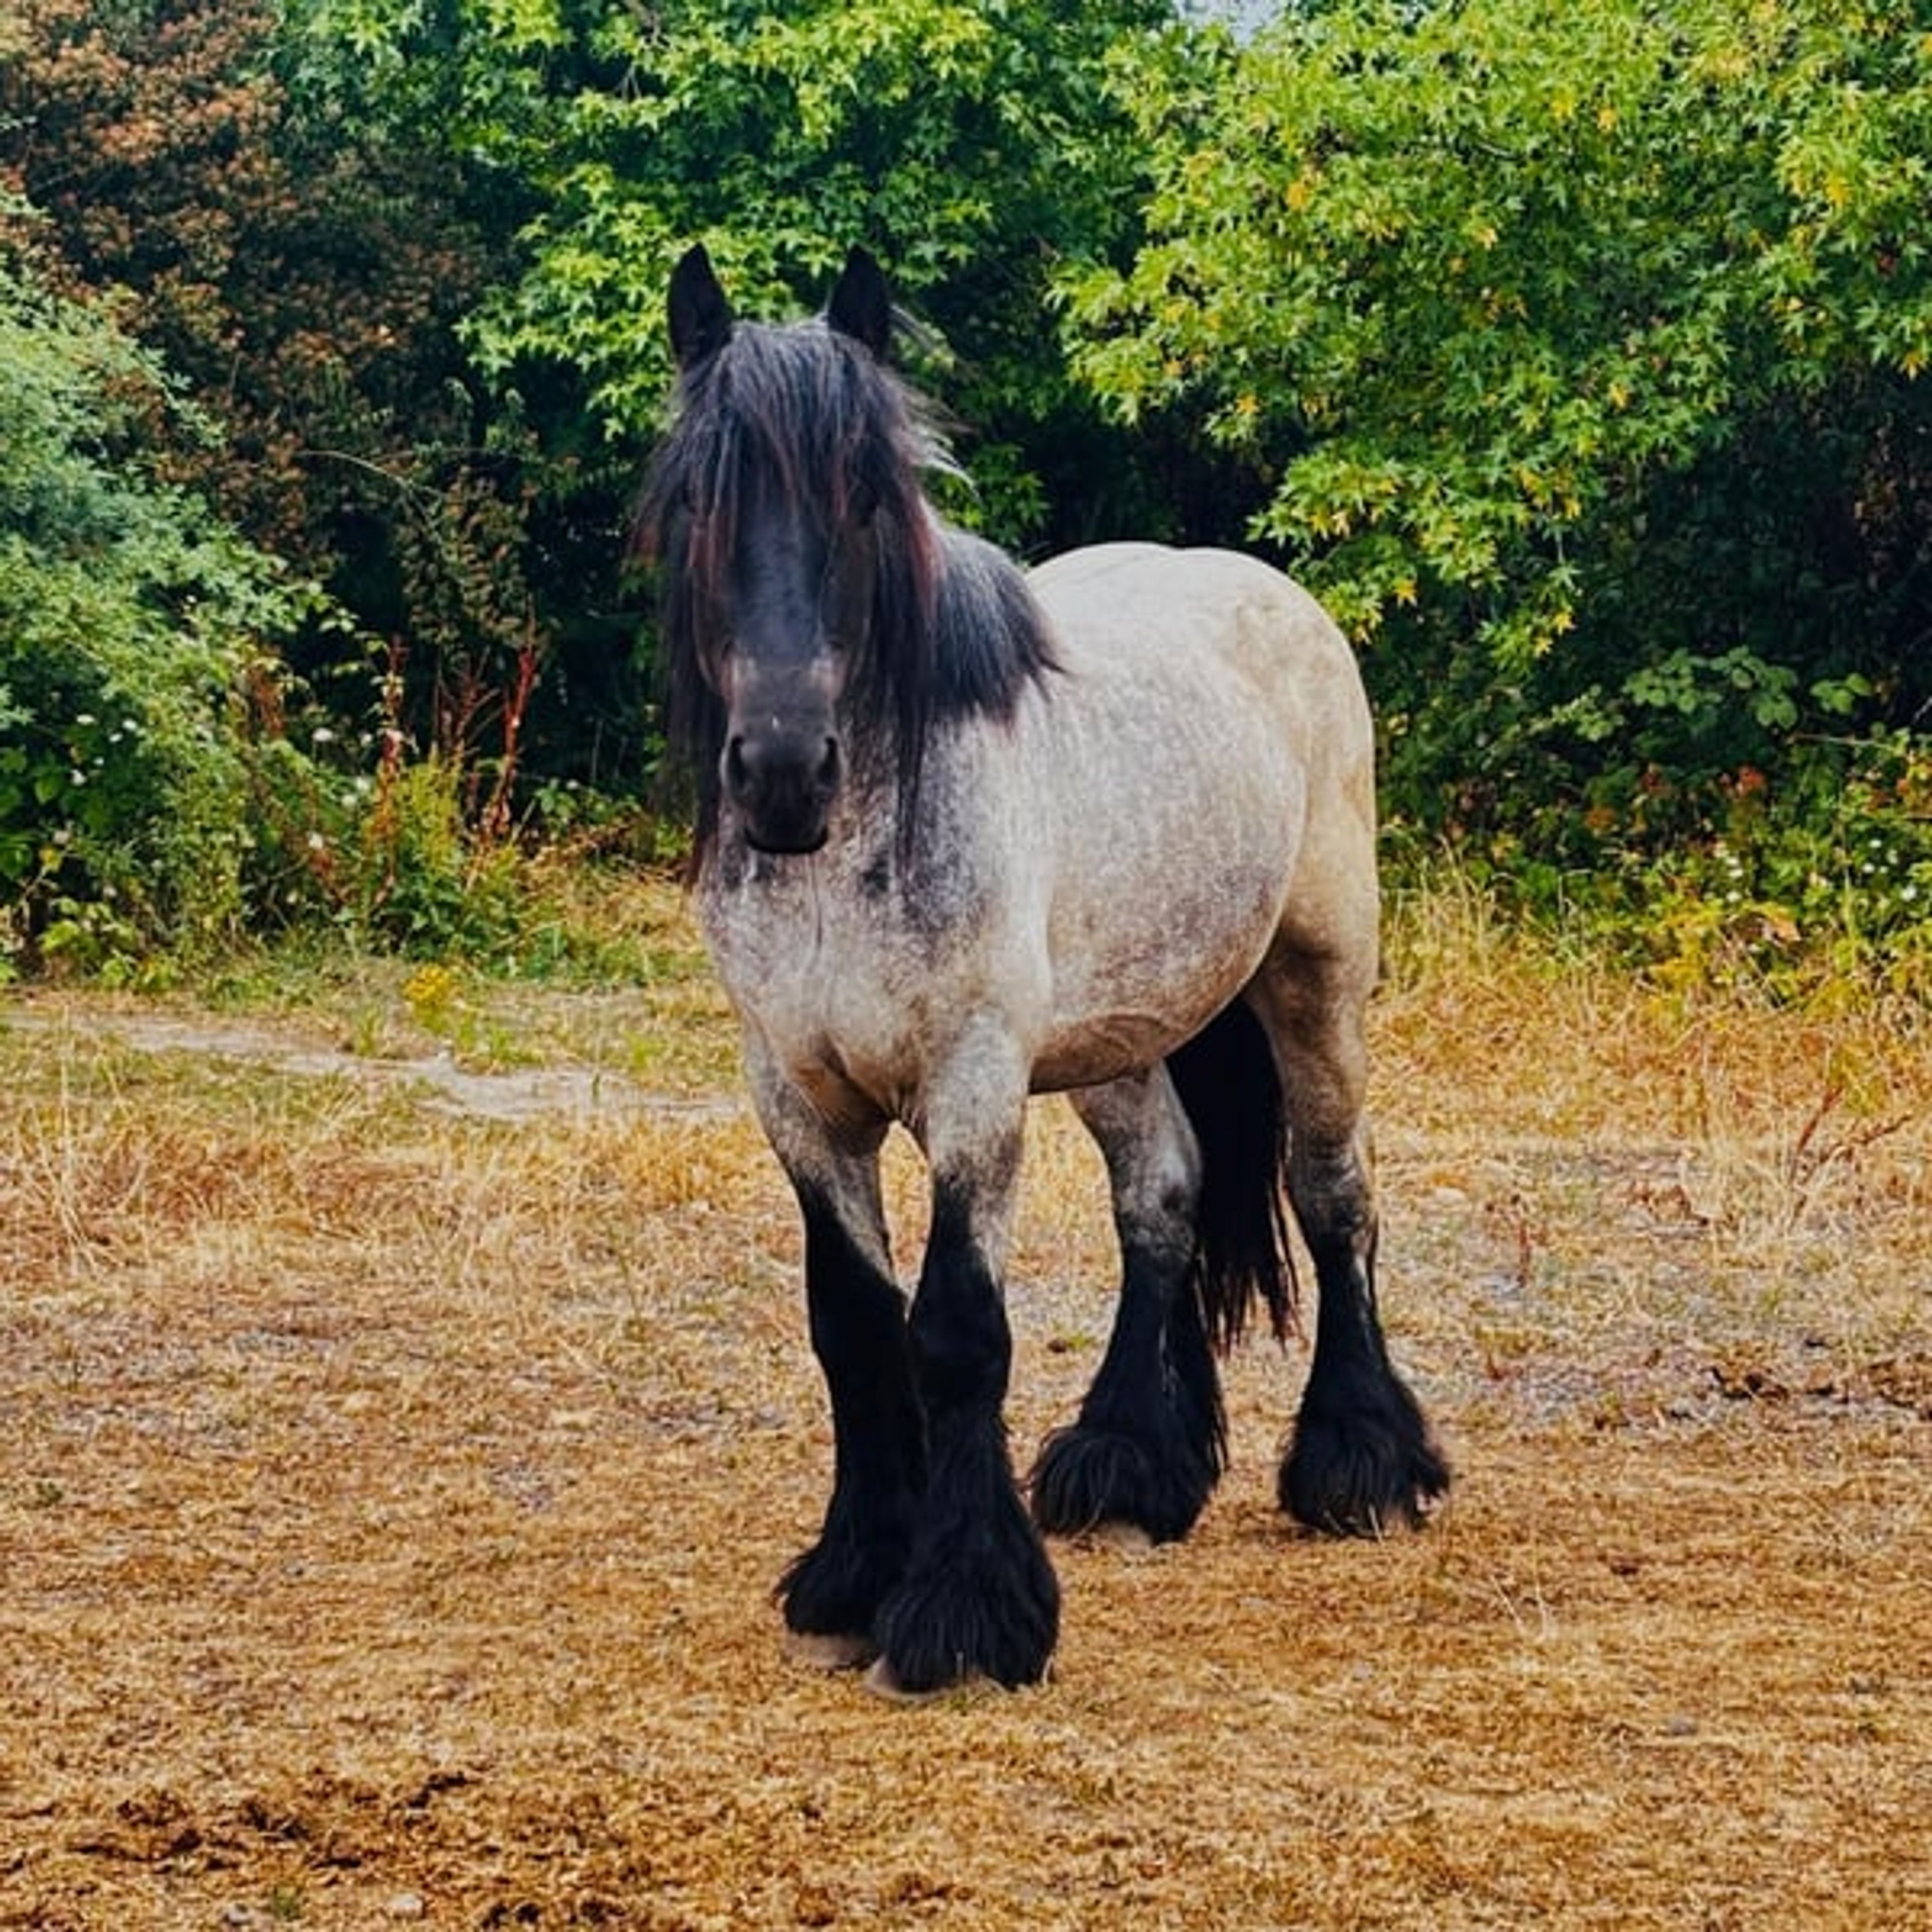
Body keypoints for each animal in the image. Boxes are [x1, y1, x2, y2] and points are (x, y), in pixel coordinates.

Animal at [640, 244, 1449, 1697]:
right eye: (697, 505)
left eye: (866, 496)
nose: (783, 772)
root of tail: (1269, 593)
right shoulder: (797, 1099)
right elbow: (854, 1328)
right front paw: (856, 1571)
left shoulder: (969, 1085)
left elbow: (957, 1334)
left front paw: (962, 1607)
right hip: (1118, 1036)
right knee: (1166, 1196)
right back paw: (1131, 1462)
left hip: (1315, 979)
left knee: (1332, 1193)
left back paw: (1359, 1463)